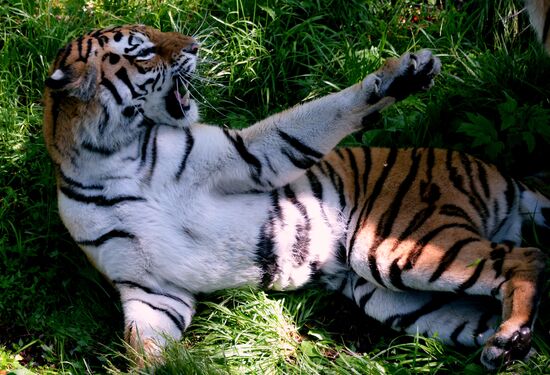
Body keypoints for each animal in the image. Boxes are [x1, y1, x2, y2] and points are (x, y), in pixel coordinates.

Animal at [44, 25, 550, 372]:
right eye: (144, 51)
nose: (194, 46)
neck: (111, 158)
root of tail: (503, 175)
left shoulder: (246, 155)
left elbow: (317, 116)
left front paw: (400, 77)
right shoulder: (149, 286)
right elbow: (146, 345)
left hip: (394, 246)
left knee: (528, 257)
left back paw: (510, 335)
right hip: (395, 296)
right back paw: (509, 344)